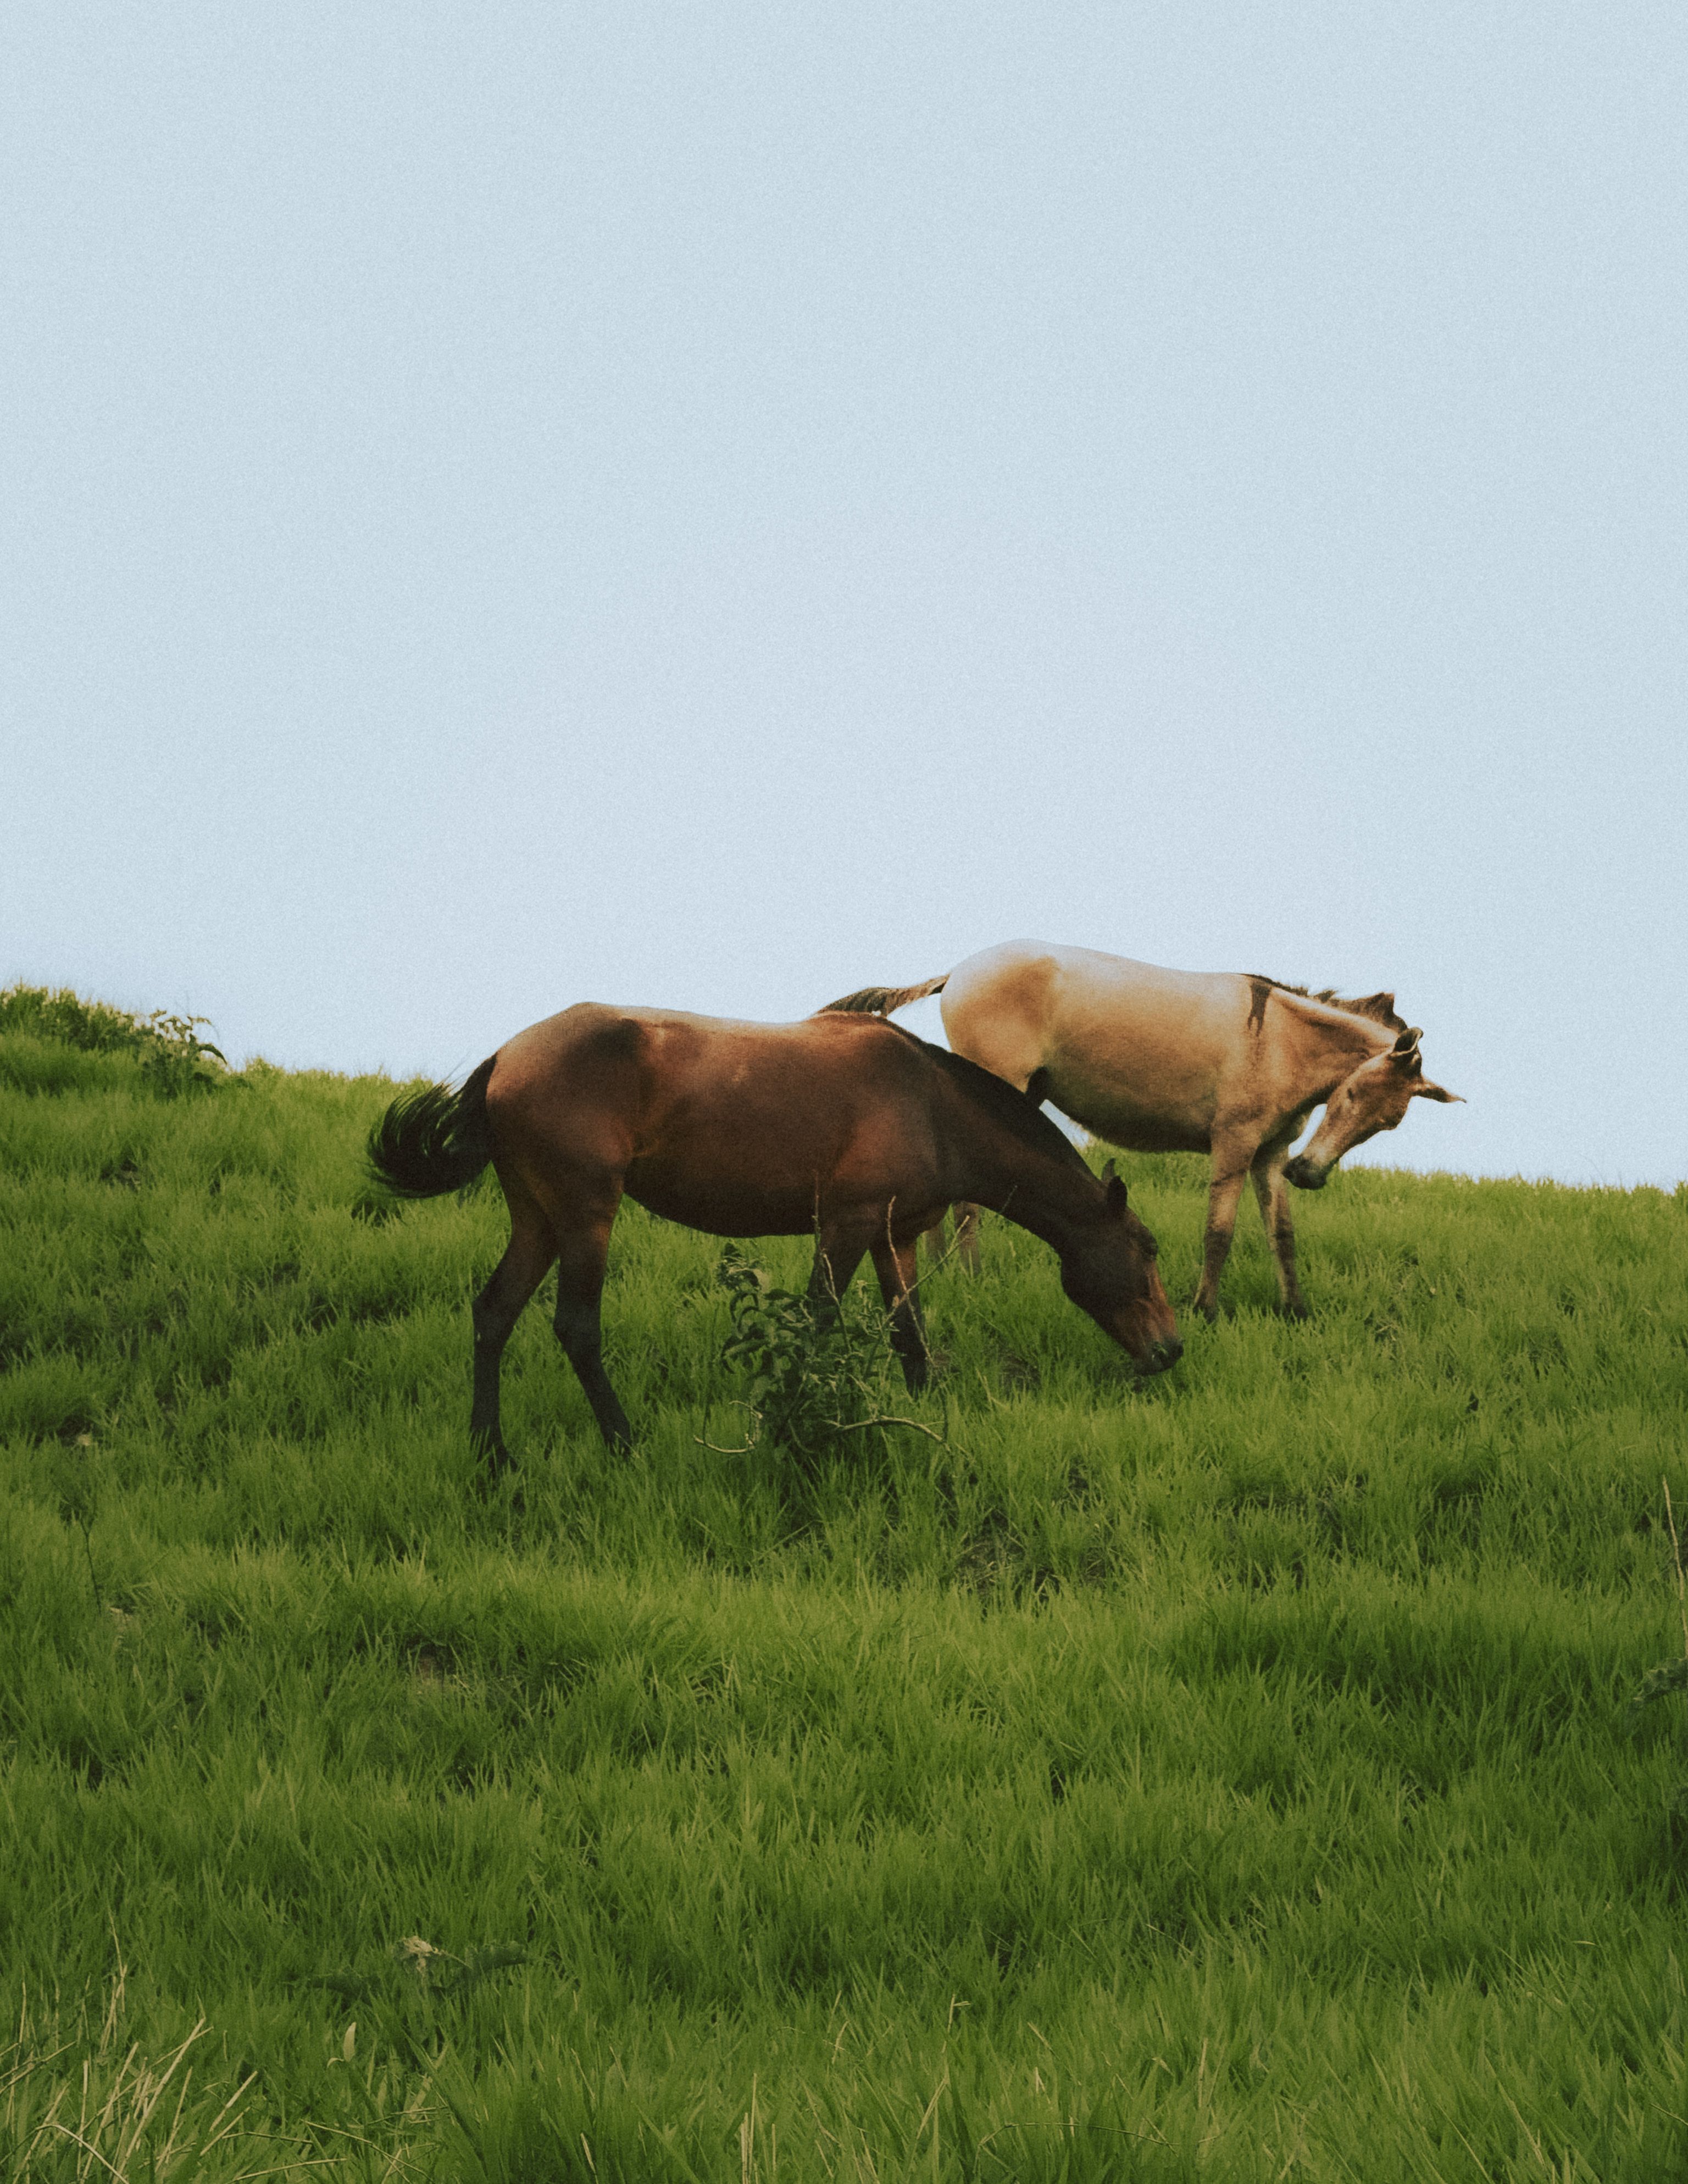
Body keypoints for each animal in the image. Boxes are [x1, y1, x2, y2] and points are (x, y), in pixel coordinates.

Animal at [365, 1002, 1182, 1463]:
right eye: (1147, 1251)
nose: (1171, 1349)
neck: (932, 1105)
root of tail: (507, 1057)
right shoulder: (847, 1224)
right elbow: (820, 1324)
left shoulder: (895, 1238)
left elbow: (910, 1332)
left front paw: (923, 1413)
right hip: (585, 1214)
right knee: (576, 1327)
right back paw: (623, 1444)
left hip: (537, 1218)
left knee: (494, 1314)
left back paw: (491, 1453)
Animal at [823, 941, 1462, 1320]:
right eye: (1351, 1094)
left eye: (1387, 1123)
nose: (1311, 1174)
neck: (1279, 1038)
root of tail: (958, 971)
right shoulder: (1233, 1146)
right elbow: (1219, 1234)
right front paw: (1205, 1309)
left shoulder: (1270, 1155)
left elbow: (1282, 1235)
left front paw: (1295, 1310)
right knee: (967, 1206)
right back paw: (972, 1278)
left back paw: (943, 1272)